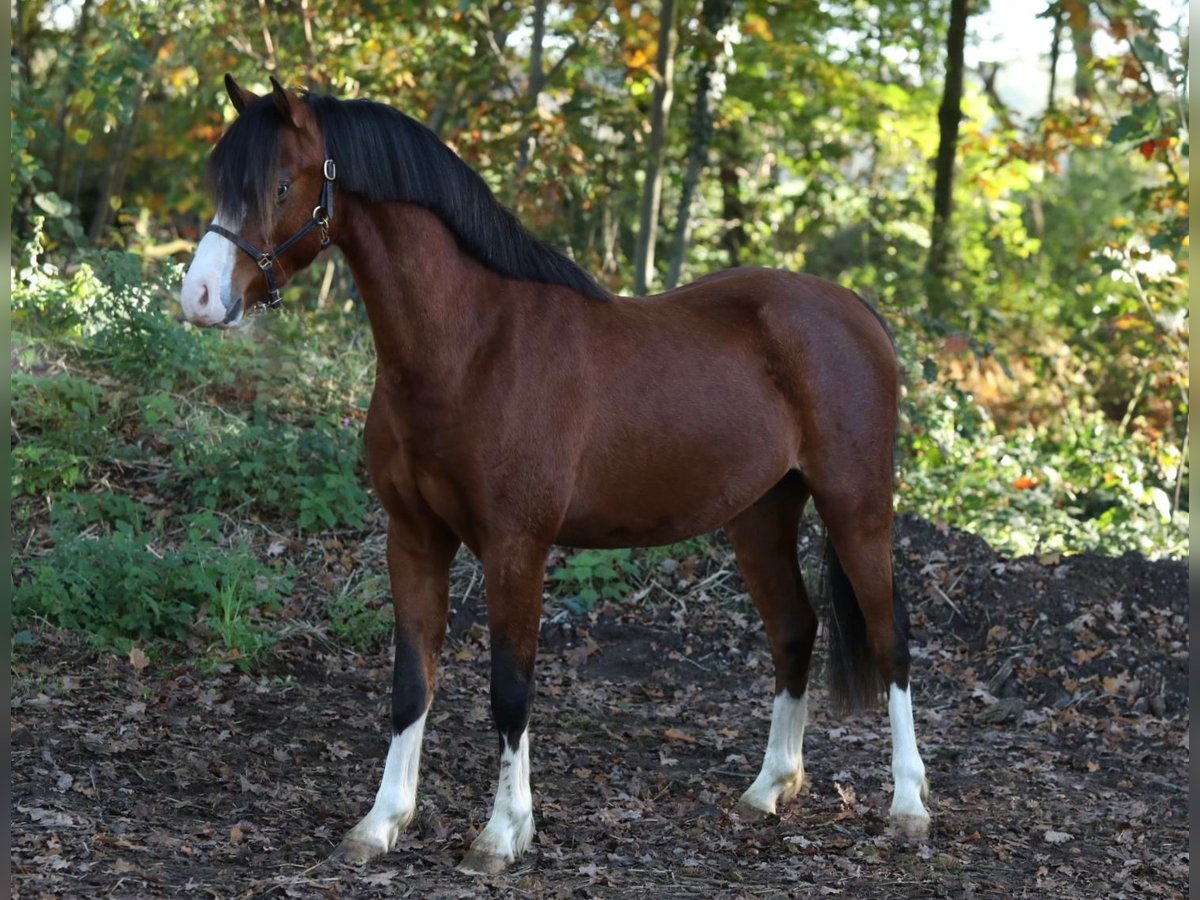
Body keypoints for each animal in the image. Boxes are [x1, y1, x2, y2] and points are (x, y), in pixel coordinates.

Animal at [180, 74, 926, 878]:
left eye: (280, 185)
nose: (199, 299)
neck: (473, 347)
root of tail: (857, 312)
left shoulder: (516, 547)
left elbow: (511, 690)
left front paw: (503, 834)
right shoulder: (412, 539)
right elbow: (412, 683)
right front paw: (381, 823)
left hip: (855, 506)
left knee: (891, 637)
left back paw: (909, 807)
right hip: (760, 516)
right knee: (794, 629)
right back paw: (767, 790)